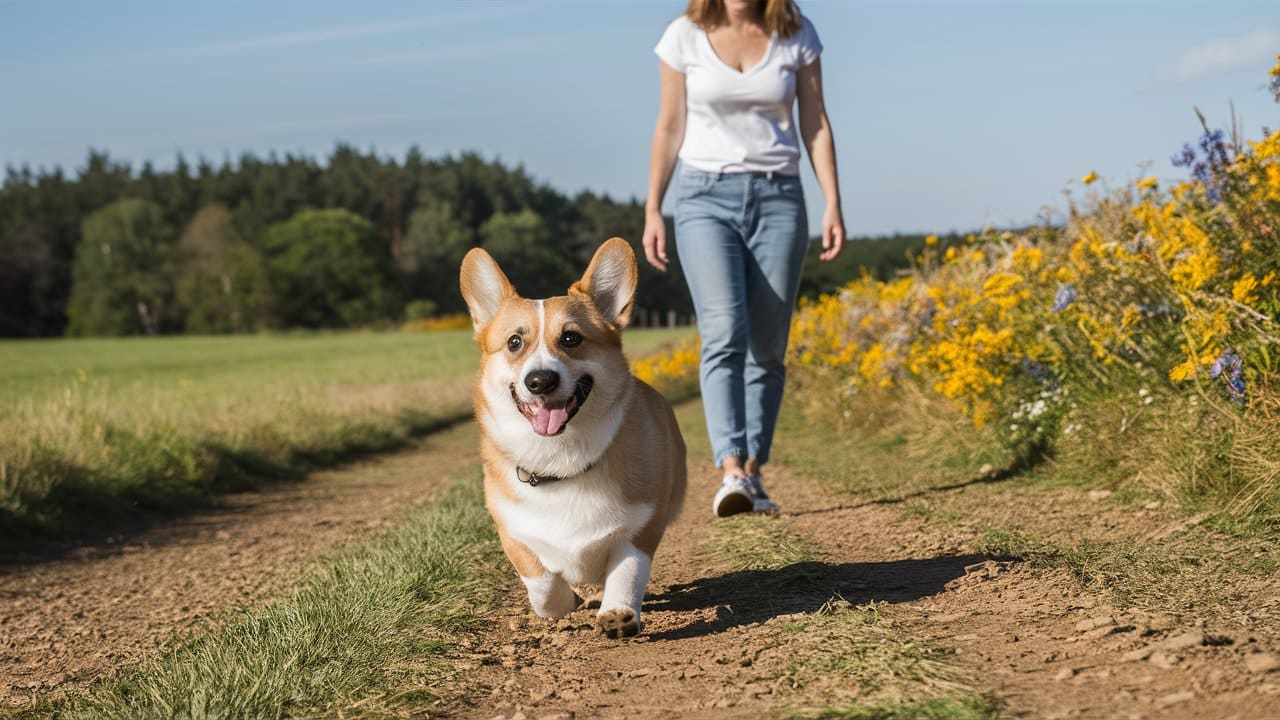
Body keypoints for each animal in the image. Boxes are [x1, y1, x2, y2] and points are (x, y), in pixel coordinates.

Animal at [463, 235, 691, 632]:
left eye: (571, 338)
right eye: (514, 343)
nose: (540, 381)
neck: (561, 460)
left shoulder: (643, 526)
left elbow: (627, 570)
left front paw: (618, 612)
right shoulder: (512, 531)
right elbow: (542, 583)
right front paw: (564, 601)